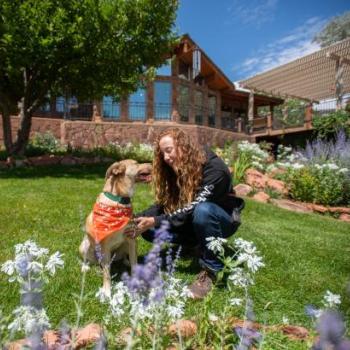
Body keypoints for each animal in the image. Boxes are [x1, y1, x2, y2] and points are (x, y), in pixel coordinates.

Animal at [80, 159, 152, 296]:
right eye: (136, 163)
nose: (151, 163)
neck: (119, 200)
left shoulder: (132, 239)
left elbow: (134, 263)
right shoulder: (105, 246)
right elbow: (107, 274)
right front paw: (107, 292)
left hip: (125, 246)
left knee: (124, 258)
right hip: (85, 245)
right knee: (90, 261)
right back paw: (86, 267)